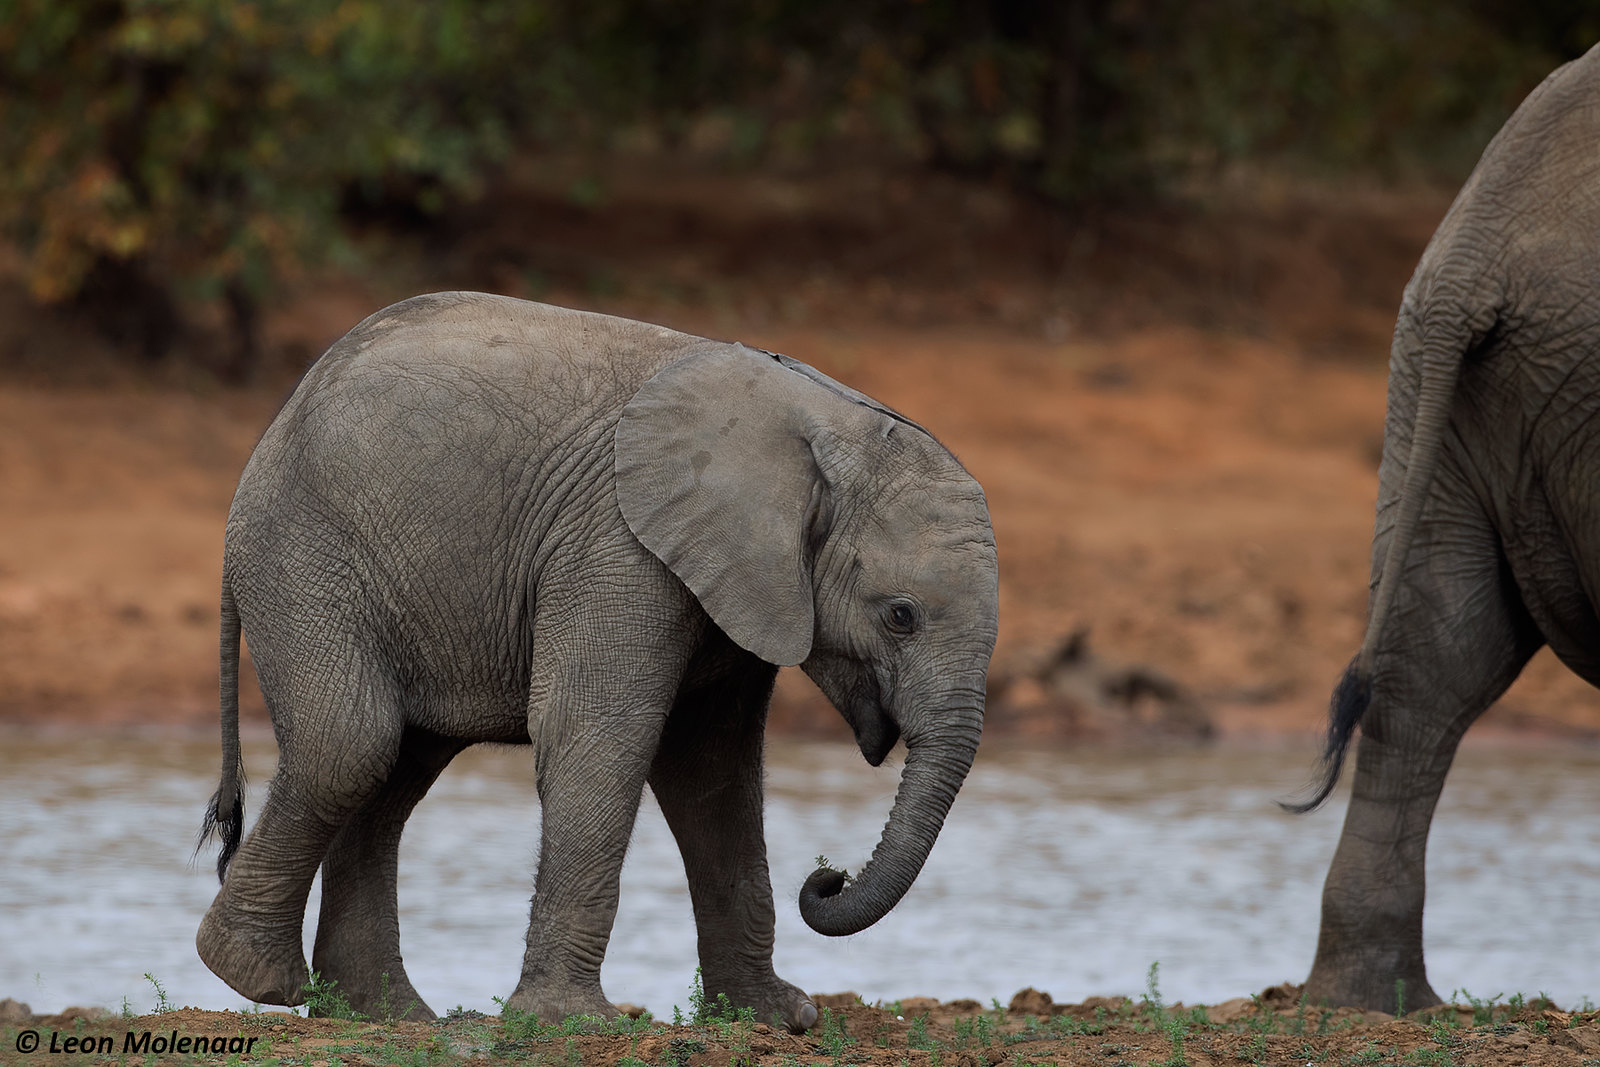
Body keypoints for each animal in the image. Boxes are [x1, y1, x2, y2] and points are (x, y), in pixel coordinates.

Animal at [194, 292, 1000, 1031]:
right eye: (900, 615)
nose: (827, 876)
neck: (833, 425)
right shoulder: (620, 543)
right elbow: (600, 739)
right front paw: (575, 1023)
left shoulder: (738, 584)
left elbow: (714, 774)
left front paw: (775, 1018)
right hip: (303, 555)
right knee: (351, 746)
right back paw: (257, 978)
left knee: (393, 771)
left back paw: (391, 1017)